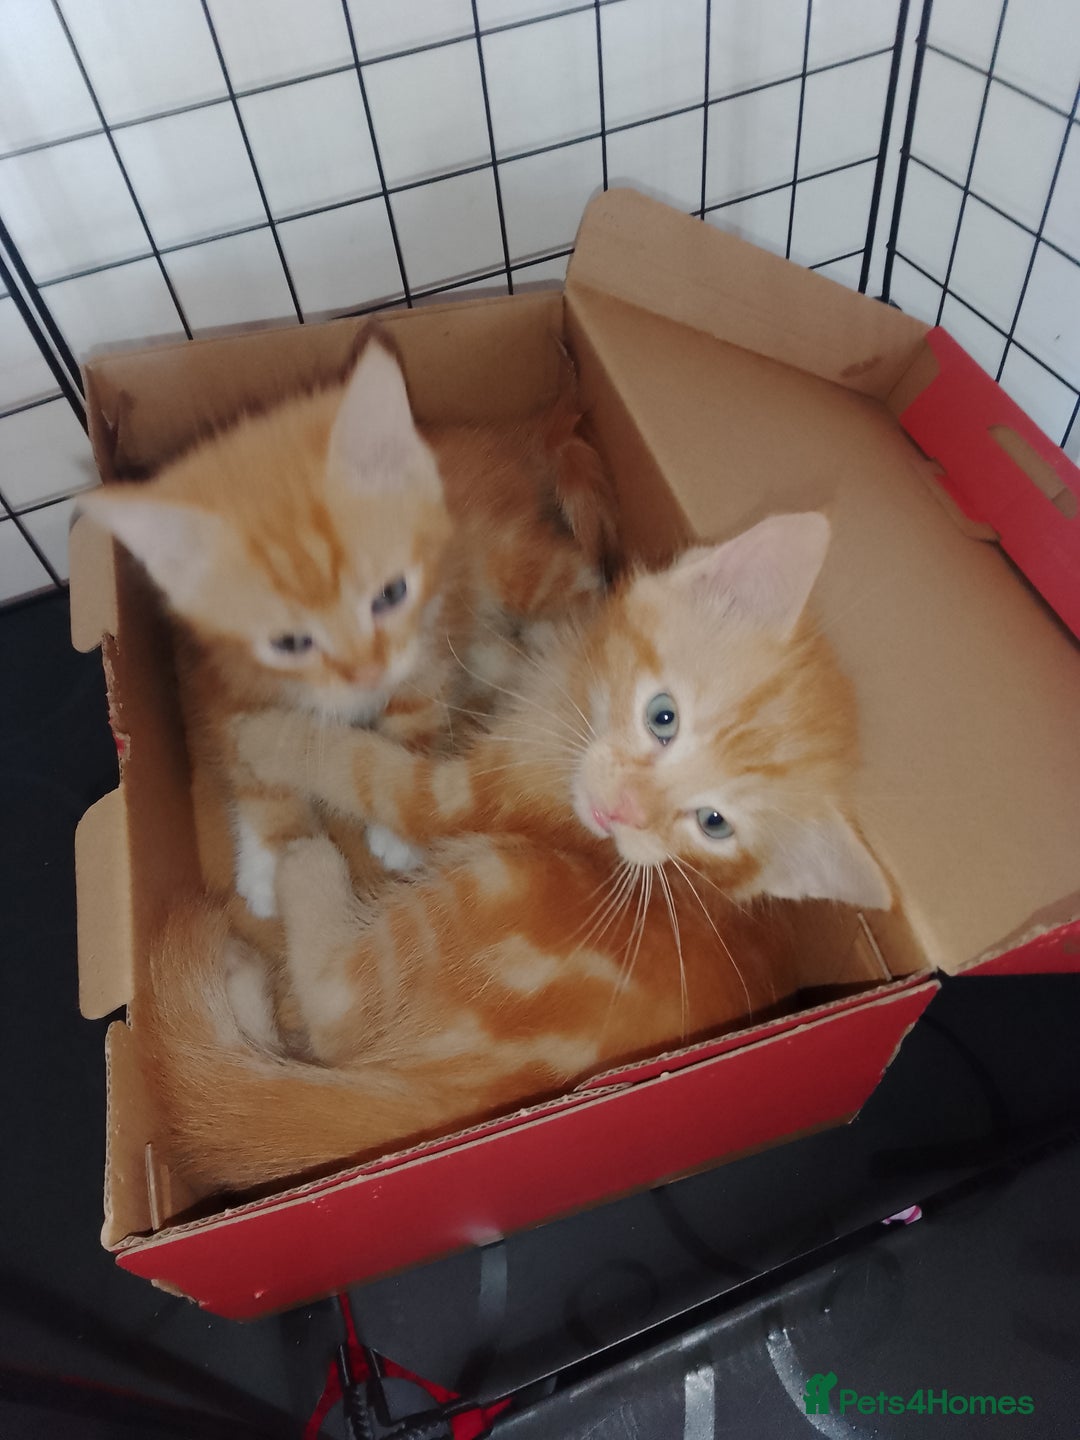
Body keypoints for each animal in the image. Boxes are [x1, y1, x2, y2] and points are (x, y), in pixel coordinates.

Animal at [79, 329, 617, 919]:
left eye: (391, 594)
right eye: (289, 641)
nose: (367, 674)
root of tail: (502, 438)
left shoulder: (426, 633)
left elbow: (416, 711)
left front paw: (394, 820)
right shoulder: (212, 678)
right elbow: (248, 761)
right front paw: (277, 851)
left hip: (506, 560)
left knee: (580, 578)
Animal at [143, 513, 891, 1193]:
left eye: (712, 823)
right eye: (664, 716)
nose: (620, 813)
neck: (570, 714)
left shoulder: (458, 800)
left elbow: (367, 769)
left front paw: (271, 736)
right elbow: (532, 651)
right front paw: (497, 651)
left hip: (495, 882)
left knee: (335, 1011)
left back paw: (301, 876)